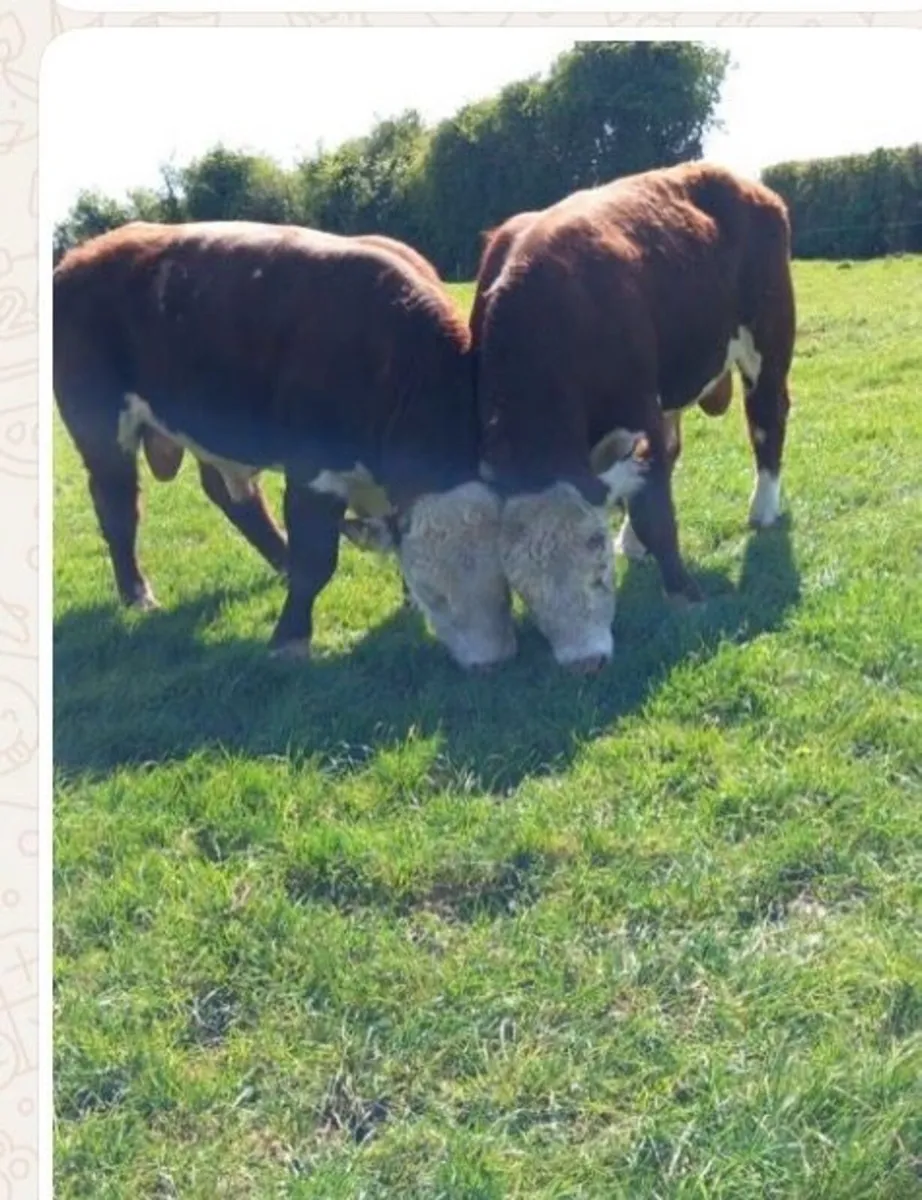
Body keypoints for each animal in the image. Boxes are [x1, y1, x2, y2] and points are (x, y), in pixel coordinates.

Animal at [53, 220, 518, 669]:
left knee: (231, 497)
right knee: (117, 507)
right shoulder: (314, 469)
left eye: (505, 583)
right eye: (434, 591)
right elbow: (317, 559)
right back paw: (137, 594)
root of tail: (84, 254)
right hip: (98, 427)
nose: (489, 661)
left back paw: (281, 562)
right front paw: (290, 640)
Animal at [471, 161, 796, 672]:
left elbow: (655, 514)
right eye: (522, 585)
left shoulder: (638, 410)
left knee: (767, 422)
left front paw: (684, 594)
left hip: (768, 342)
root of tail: (745, 183)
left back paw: (762, 509)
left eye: (597, 566)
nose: (584, 662)